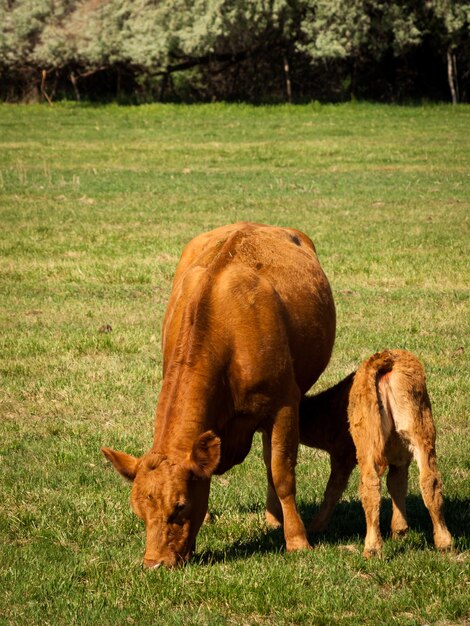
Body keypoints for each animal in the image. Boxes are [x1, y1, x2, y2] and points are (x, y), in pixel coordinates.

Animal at [100, 221, 334, 564]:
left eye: (180, 506)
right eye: (139, 511)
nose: (155, 564)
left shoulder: (284, 405)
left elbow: (282, 473)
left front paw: (297, 541)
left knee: (270, 460)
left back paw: (275, 517)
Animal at [298, 346, 452, 556]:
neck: (326, 412)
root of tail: (385, 360)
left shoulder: (342, 455)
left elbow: (333, 490)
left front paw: (315, 527)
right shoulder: (399, 458)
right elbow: (397, 485)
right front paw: (400, 532)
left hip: (367, 439)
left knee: (370, 483)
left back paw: (372, 548)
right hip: (420, 426)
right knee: (430, 479)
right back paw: (444, 542)